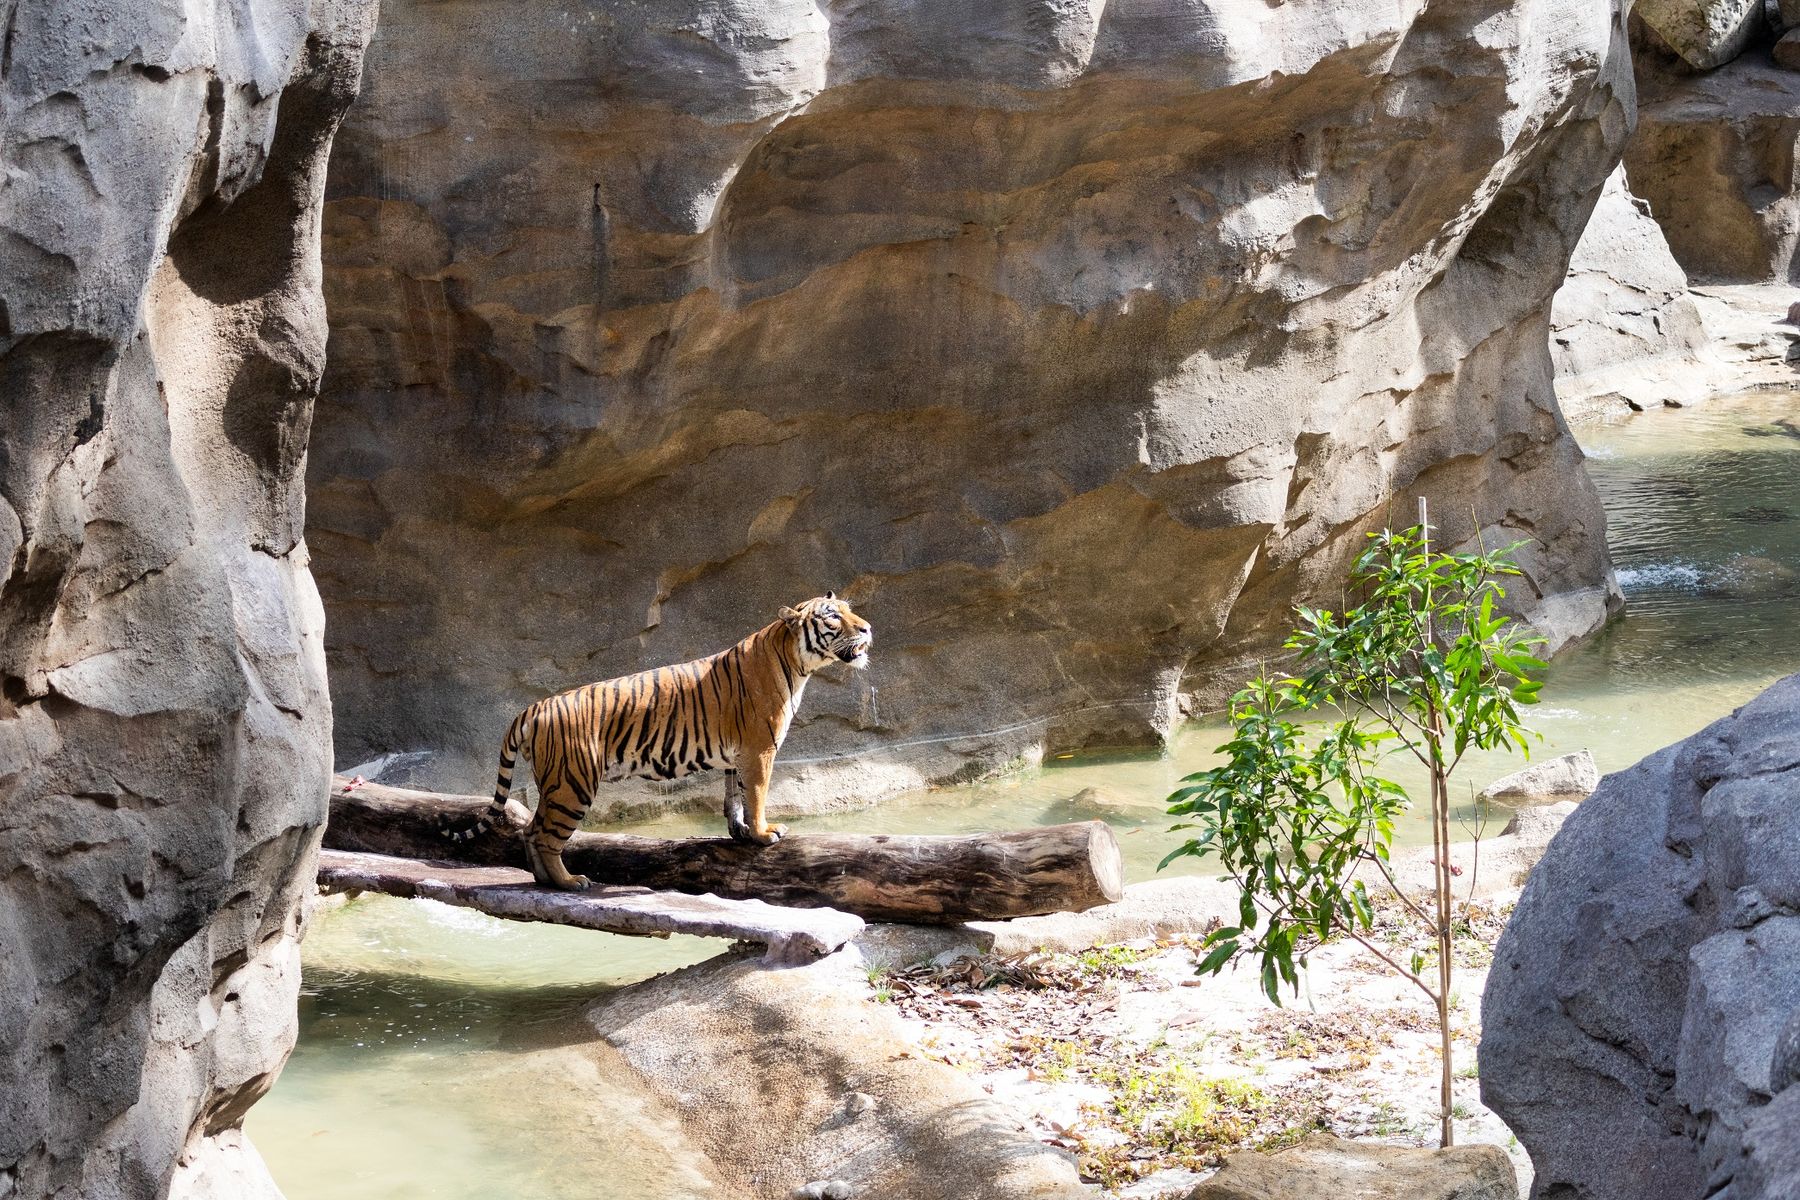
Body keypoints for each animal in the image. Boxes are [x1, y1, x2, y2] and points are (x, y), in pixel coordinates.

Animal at [446, 593, 874, 892]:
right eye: (833, 616)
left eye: (849, 610)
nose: (868, 628)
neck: (796, 663)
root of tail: (534, 706)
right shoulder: (760, 750)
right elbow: (756, 795)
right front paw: (763, 833)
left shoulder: (738, 755)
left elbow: (734, 795)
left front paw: (739, 831)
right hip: (573, 784)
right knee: (546, 836)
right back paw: (569, 882)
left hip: (555, 784)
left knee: (530, 830)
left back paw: (545, 882)